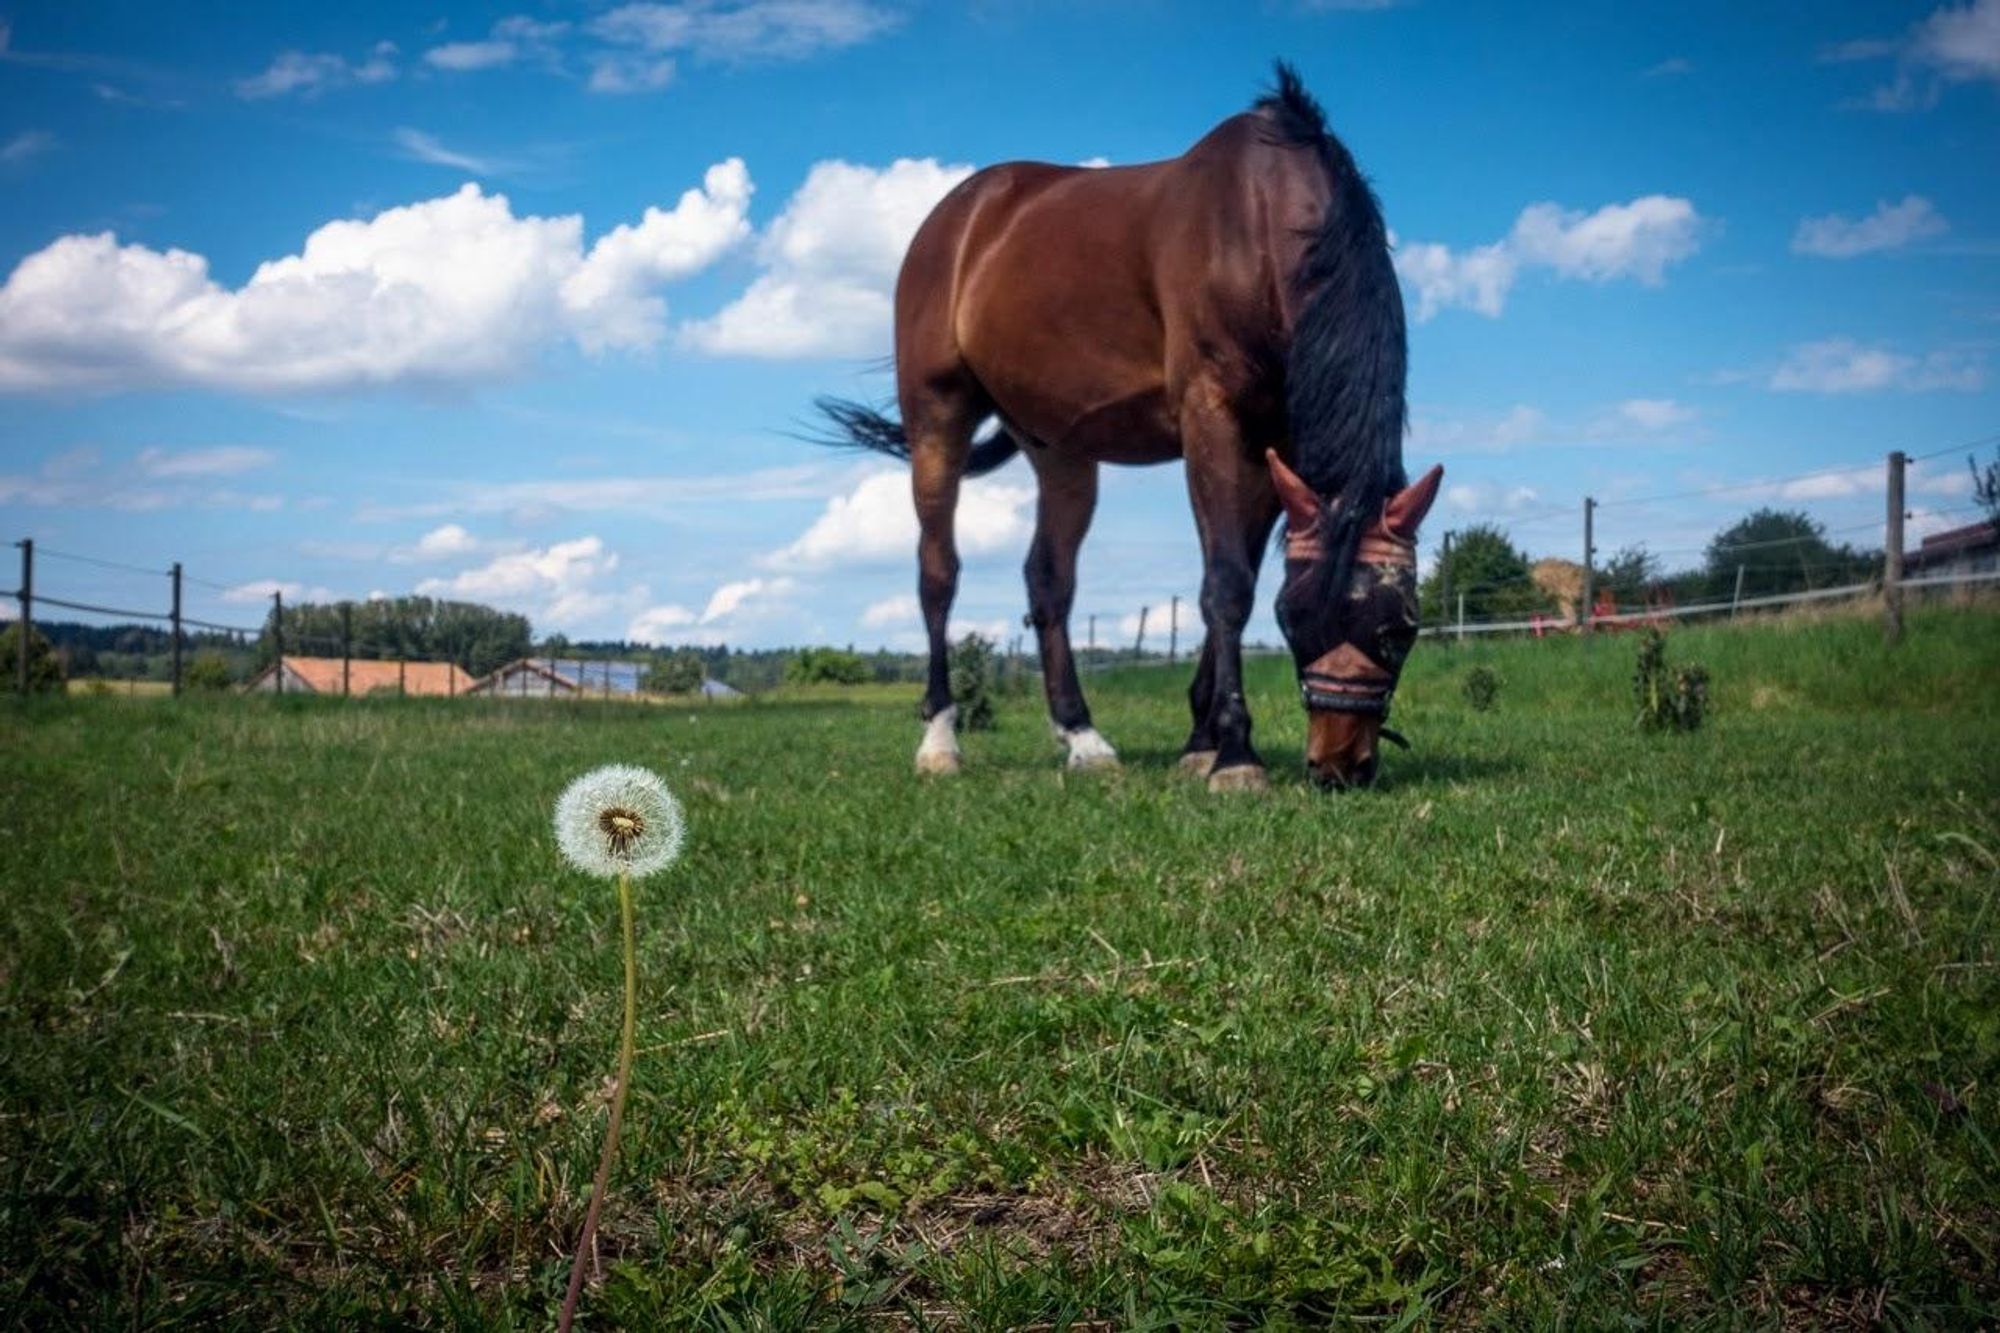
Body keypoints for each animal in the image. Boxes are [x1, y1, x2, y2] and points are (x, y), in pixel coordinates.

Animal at [812, 65, 1440, 788]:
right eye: (1295, 617)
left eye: (1403, 626)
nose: (1341, 765)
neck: (1260, 223)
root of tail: (958, 216)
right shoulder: (1210, 417)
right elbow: (1227, 583)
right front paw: (1234, 755)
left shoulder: (1271, 441)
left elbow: (1235, 576)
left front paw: (1200, 741)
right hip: (937, 417)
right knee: (937, 572)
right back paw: (940, 741)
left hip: (1059, 450)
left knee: (1047, 581)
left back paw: (1082, 736)